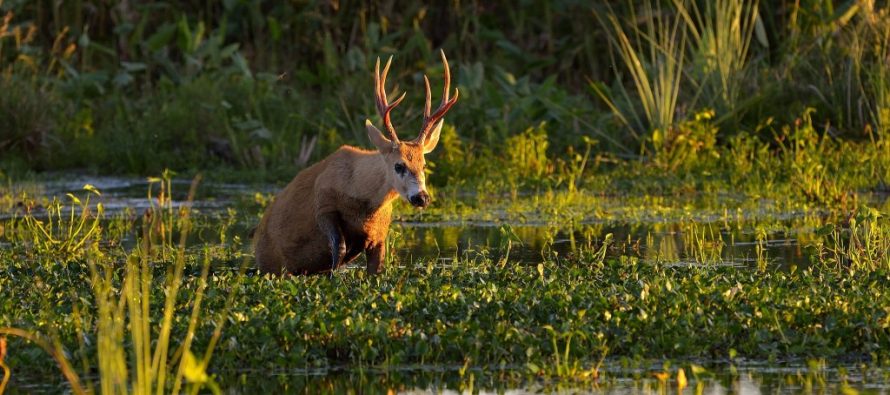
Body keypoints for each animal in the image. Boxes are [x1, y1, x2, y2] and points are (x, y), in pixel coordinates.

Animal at [250, 51, 458, 276]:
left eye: (424, 165)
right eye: (398, 165)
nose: (422, 197)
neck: (361, 196)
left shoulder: (380, 230)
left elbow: (376, 269)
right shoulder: (323, 205)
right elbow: (338, 249)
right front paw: (334, 277)